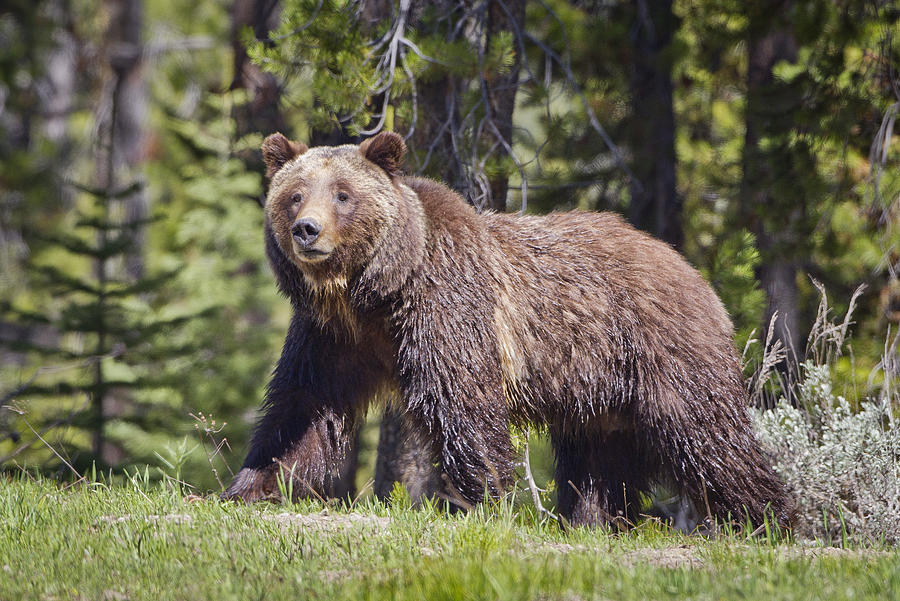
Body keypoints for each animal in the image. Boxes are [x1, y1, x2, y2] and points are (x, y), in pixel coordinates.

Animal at [225, 130, 796, 524]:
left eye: (343, 194)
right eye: (295, 194)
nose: (307, 230)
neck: (373, 292)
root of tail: (690, 268)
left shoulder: (444, 309)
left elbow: (463, 403)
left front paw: (483, 501)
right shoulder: (332, 337)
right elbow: (302, 407)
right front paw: (249, 485)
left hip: (661, 353)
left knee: (710, 439)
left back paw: (770, 518)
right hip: (599, 392)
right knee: (600, 461)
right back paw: (593, 520)